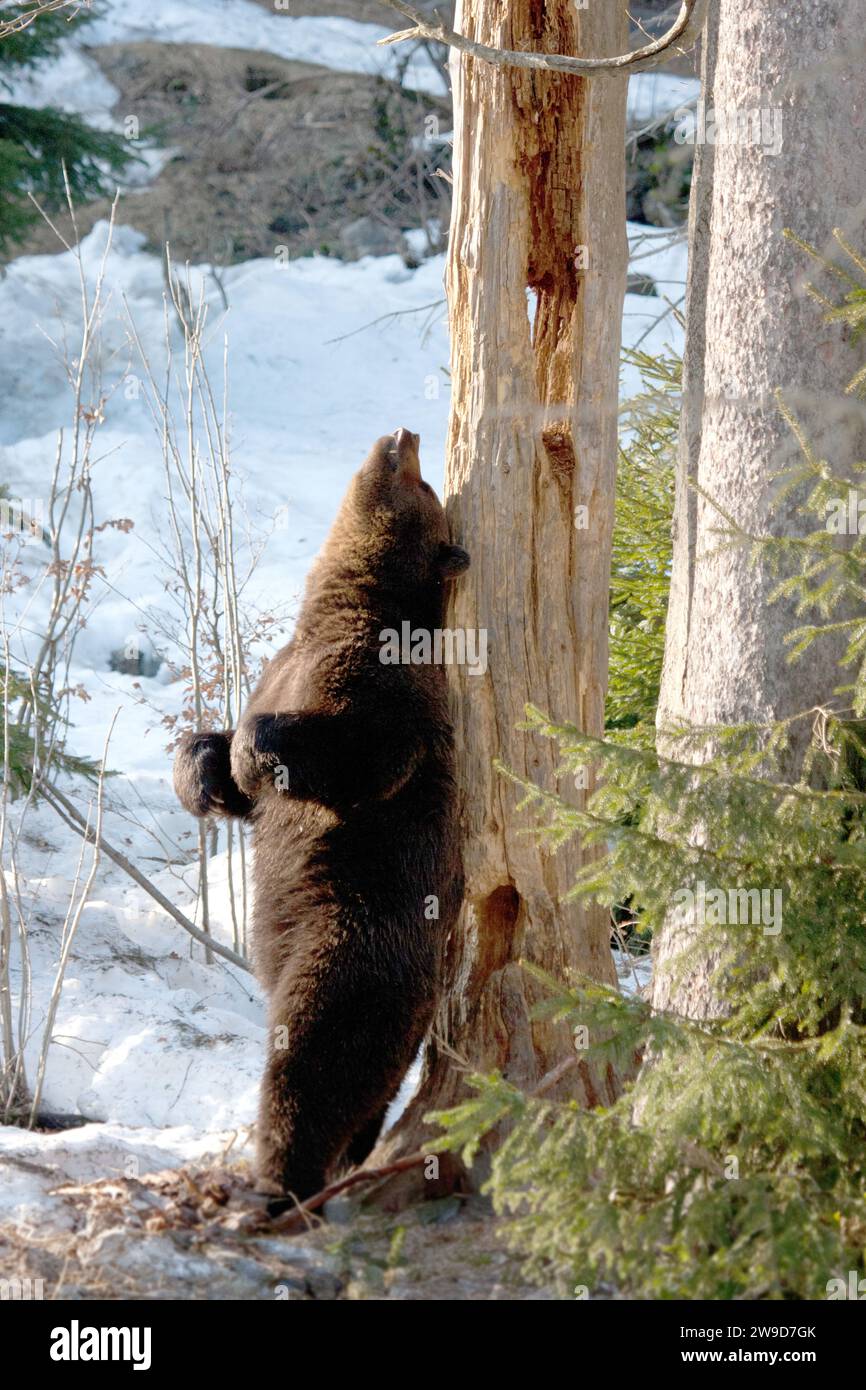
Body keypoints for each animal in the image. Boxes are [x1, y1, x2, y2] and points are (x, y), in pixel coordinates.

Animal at [173, 427, 469, 1202]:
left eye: (426, 489)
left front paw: (255, 753)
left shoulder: (385, 686)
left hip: (349, 946)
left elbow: (363, 758)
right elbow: (232, 774)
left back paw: (282, 1180)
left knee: (313, 1062)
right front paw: (203, 772)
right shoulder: (279, 669)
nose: (404, 434)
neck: (339, 609)